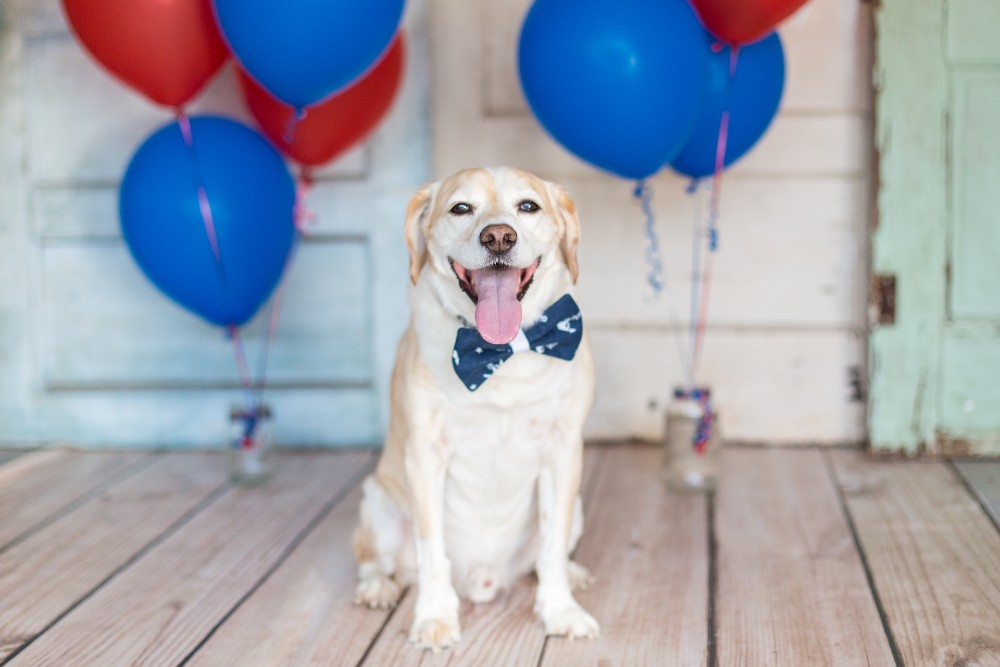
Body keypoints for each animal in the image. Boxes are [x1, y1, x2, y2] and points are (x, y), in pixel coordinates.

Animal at [356, 166, 596, 652]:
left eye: (528, 206)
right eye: (461, 208)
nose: (499, 237)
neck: (499, 352)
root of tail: (485, 581)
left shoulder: (562, 455)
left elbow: (552, 548)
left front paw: (560, 610)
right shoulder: (425, 458)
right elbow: (432, 553)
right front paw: (434, 616)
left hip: (577, 505)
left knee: (547, 558)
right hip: (377, 503)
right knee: (375, 560)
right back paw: (377, 587)